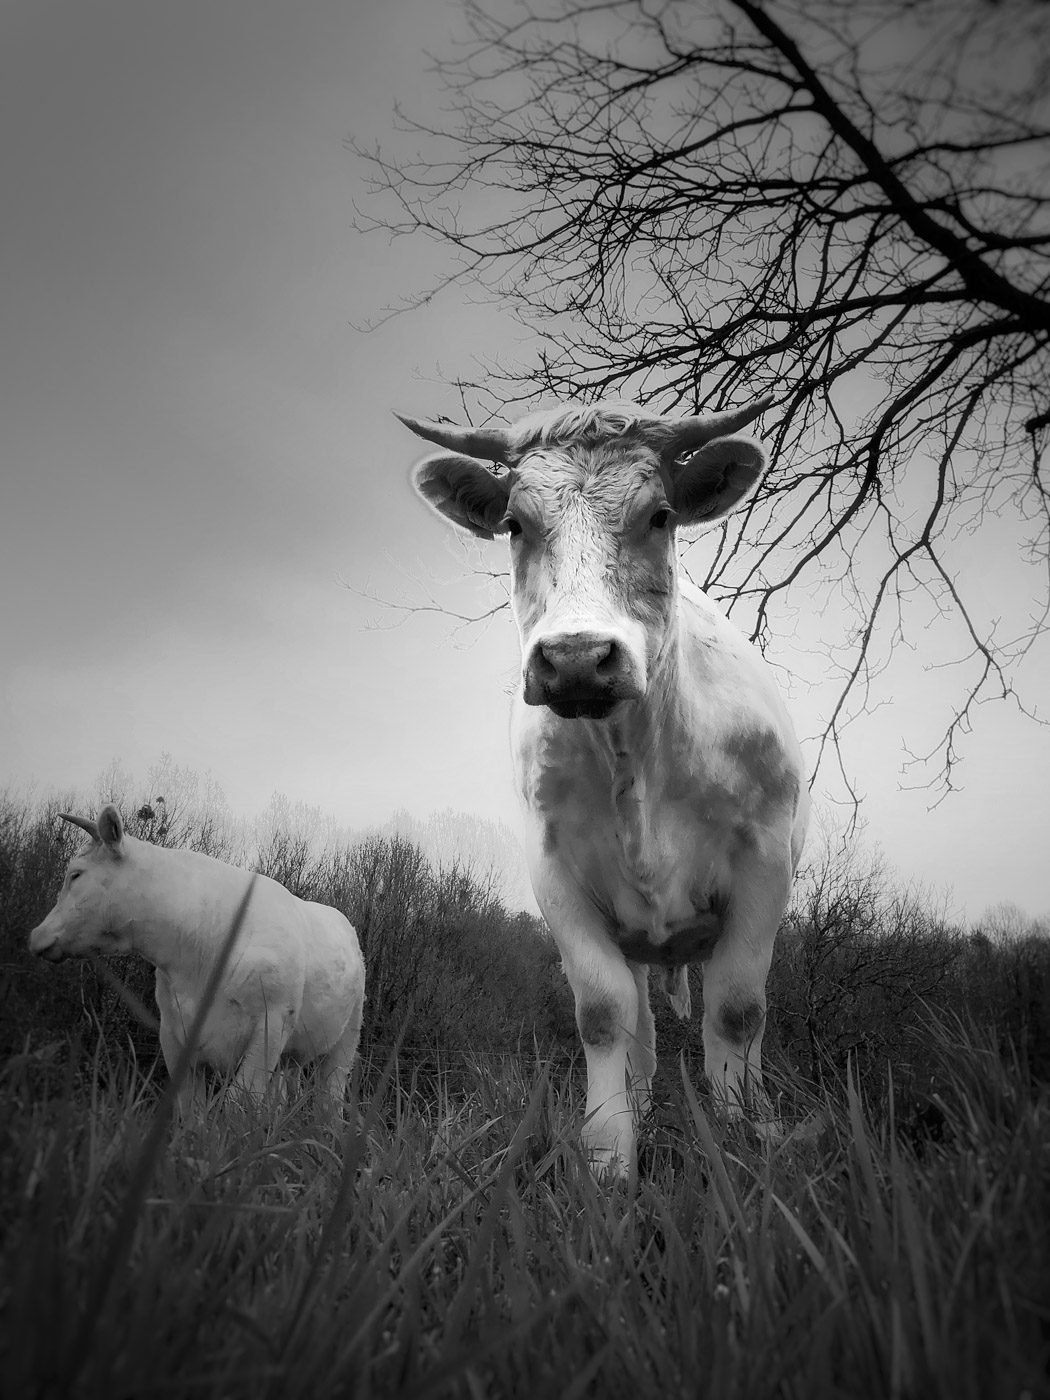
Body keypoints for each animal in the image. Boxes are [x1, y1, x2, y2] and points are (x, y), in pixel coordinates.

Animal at [29, 805, 366, 1113]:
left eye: (75, 874)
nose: (35, 935)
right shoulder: (173, 1033)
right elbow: (191, 1108)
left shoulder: (271, 1026)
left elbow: (238, 1102)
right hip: (290, 1057)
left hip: (348, 1037)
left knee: (329, 1096)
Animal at [400, 396, 809, 1175]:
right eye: (515, 524)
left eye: (661, 516)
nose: (577, 659)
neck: (636, 758)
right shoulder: (554, 871)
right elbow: (602, 1012)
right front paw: (608, 1153)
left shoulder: (764, 864)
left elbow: (739, 1009)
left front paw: (743, 1138)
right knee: (643, 1028)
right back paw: (643, 1106)